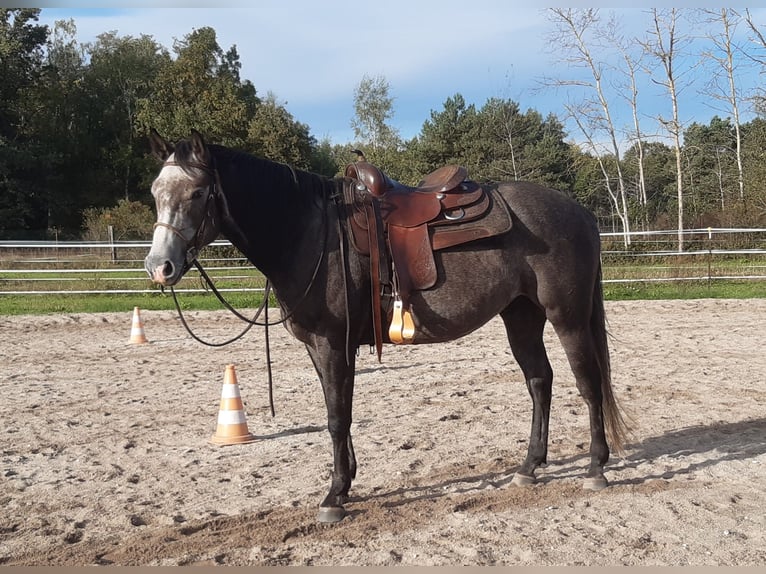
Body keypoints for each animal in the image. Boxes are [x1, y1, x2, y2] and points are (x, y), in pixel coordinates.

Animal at [144, 130, 632, 528]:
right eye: (155, 192)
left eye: (198, 192)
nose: (159, 267)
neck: (311, 233)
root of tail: (580, 212)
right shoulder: (321, 347)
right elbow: (339, 413)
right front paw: (345, 483)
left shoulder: (331, 344)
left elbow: (337, 418)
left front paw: (334, 496)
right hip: (521, 316)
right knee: (539, 382)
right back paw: (529, 468)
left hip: (567, 316)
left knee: (588, 384)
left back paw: (595, 469)